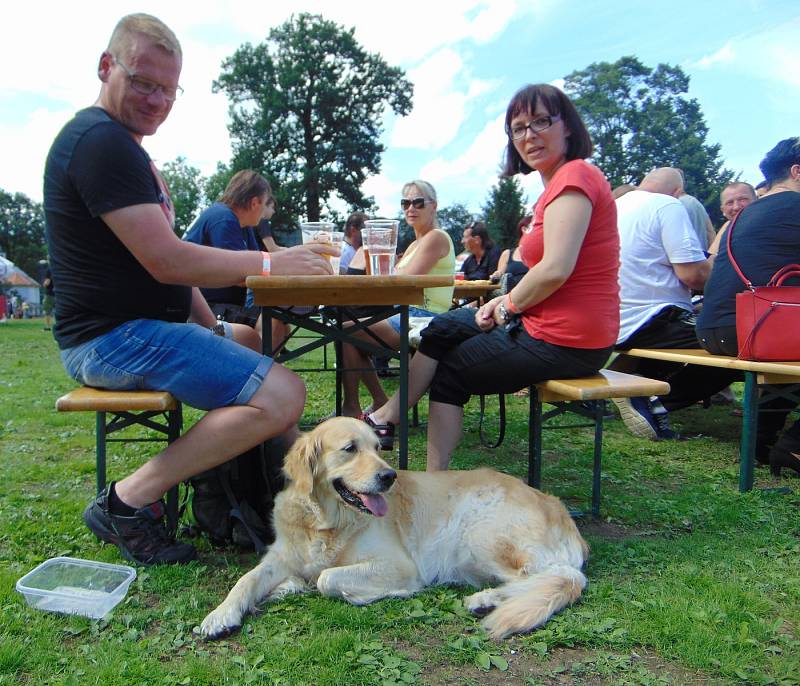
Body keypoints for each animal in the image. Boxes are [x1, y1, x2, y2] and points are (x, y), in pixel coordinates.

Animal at [200, 416, 588, 644]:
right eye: (350, 449)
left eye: (378, 447)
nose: (389, 476)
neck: (328, 520)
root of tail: (558, 507)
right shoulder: (280, 555)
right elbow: (246, 580)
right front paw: (220, 615)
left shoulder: (400, 566)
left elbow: (327, 578)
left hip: (481, 534)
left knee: (562, 577)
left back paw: (486, 599)